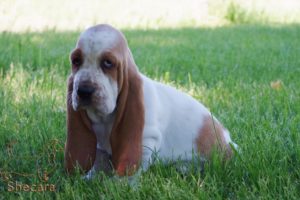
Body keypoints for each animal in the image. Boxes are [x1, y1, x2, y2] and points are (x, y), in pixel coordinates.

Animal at [64, 23, 238, 178]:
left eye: (108, 63)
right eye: (76, 61)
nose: (84, 91)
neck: (104, 119)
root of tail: (228, 140)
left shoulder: (146, 140)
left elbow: (128, 172)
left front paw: (117, 186)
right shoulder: (100, 145)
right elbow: (99, 162)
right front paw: (88, 179)